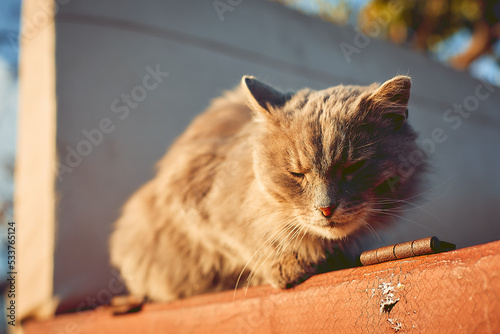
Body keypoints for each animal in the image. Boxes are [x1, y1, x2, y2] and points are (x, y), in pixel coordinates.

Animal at [109, 75, 426, 302]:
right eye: (297, 174)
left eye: (353, 167)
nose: (326, 208)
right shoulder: (198, 208)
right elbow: (248, 242)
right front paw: (287, 266)